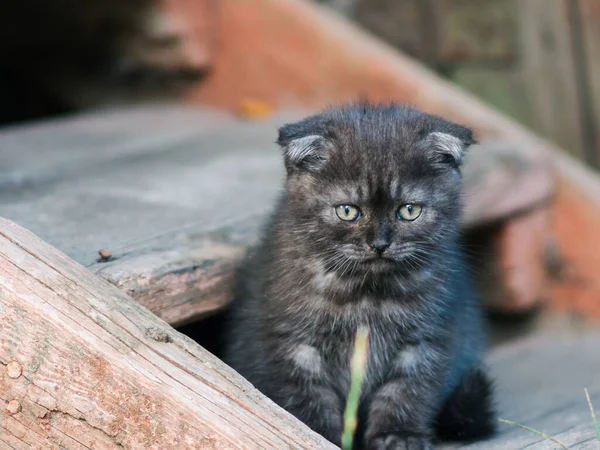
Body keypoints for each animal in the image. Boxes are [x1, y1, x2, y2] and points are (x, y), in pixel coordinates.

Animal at [223, 103, 494, 450]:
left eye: (409, 210)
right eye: (348, 211)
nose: (379, 244)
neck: (367, 296)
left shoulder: (427, 340)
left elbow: (406, 390)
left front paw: (398, 435)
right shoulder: (292, 344)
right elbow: (307, 395)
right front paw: (318, 435)